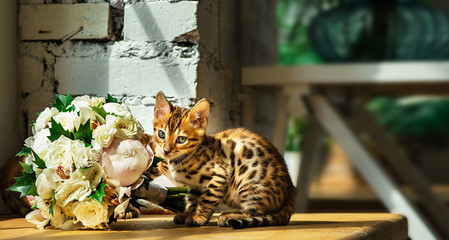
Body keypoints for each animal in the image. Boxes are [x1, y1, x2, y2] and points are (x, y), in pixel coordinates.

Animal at [152, 91, 296, 228]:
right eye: (161, 134)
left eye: (181, 139)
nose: (166, 151)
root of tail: (291, 191)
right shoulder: (195, 185)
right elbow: (192, 199)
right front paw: (188, 213)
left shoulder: (219, 175)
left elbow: (207, 199)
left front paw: (199, 217)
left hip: (249, 181)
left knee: (257, 212)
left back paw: (229, 216)